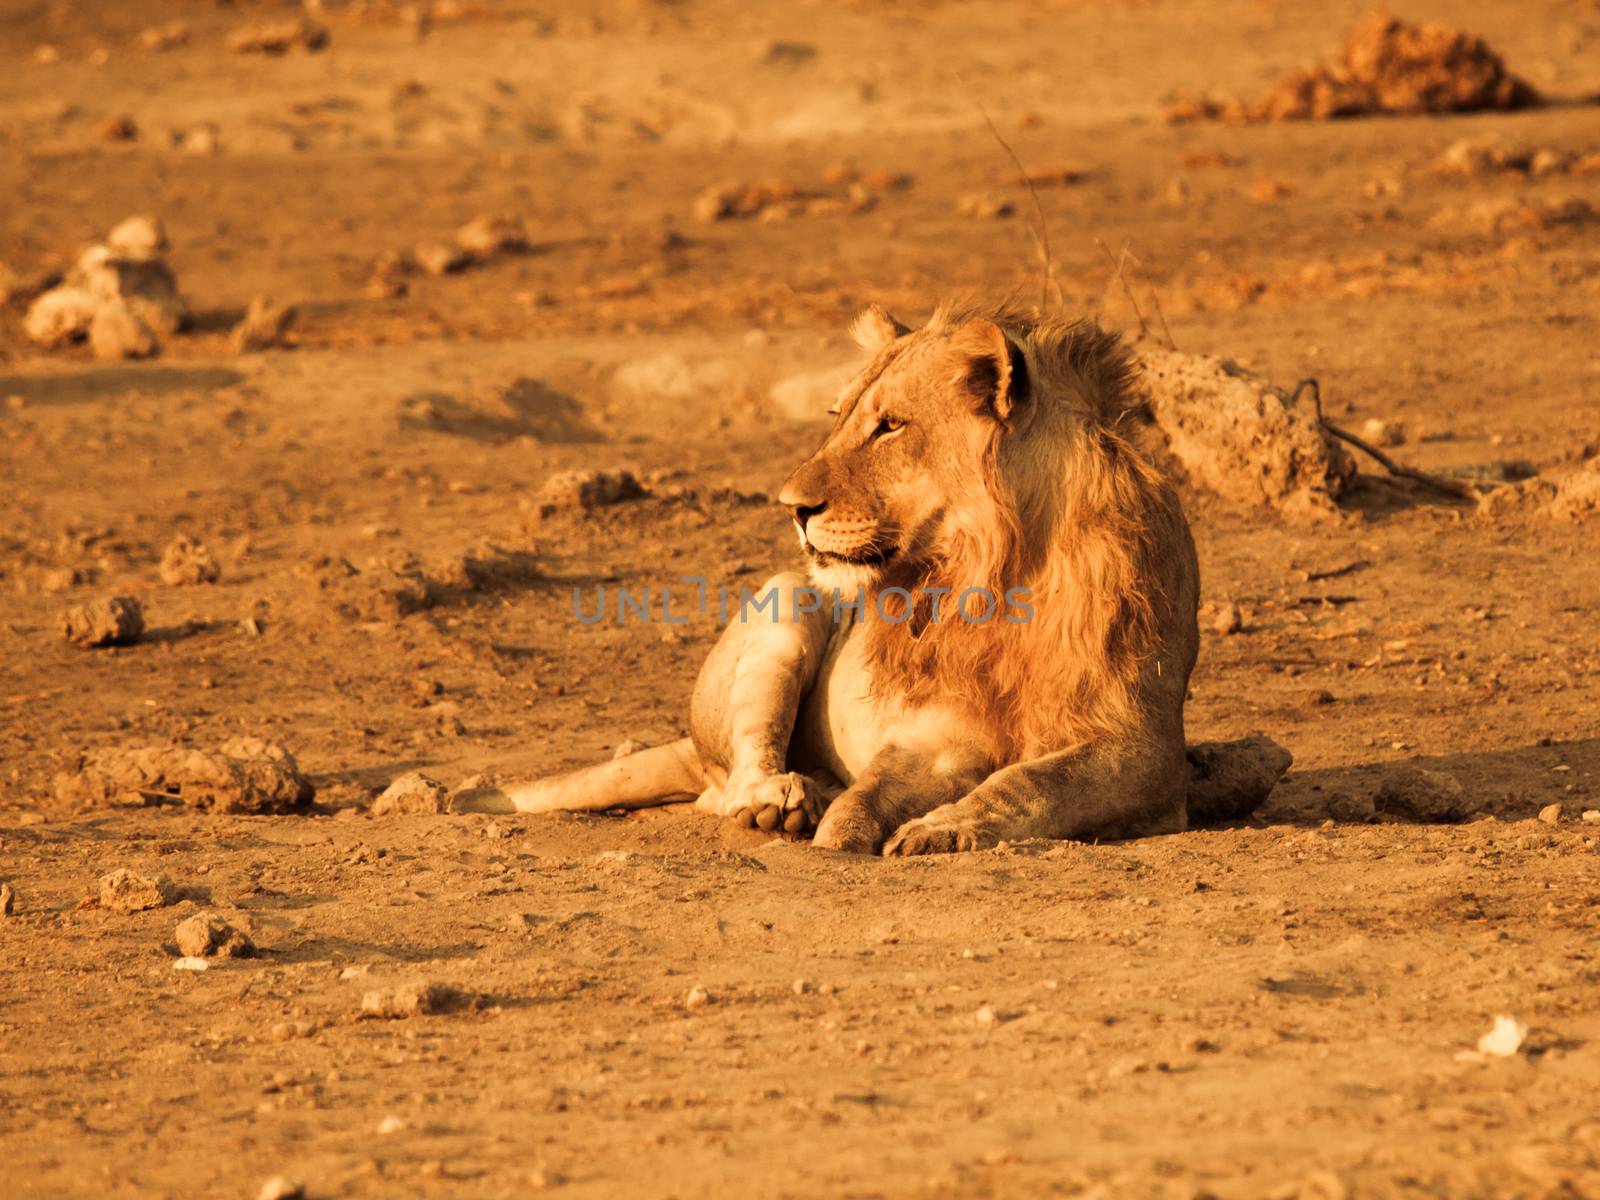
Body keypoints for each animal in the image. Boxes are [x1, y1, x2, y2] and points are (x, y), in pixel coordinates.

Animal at [457, 302, 1292, 857]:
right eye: (839, 415)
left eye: (889, 426)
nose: (791, 505)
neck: (995, 571)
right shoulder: (932, 735)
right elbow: (875, 788)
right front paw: (843, 828)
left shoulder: (1140, 748)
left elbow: (1031, 784)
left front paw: (941, 828)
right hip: (789, 604)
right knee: (729, 780)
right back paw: (785, 801)